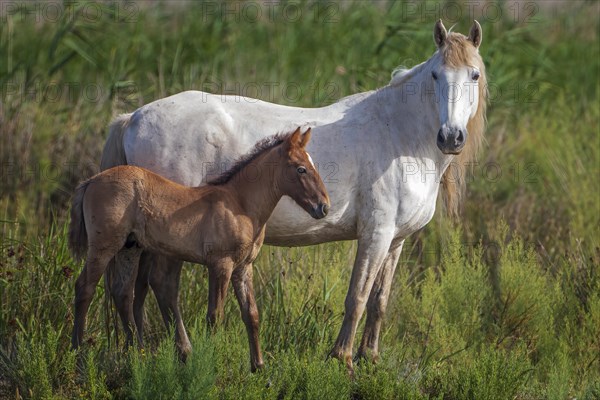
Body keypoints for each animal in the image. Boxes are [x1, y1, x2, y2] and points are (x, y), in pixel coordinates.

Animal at [99, 18, 488, 368]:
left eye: (474, 75)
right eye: (436, 75)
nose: (451, 137)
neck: (401, 136)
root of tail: (134, 117)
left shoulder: (396, 240)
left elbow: (379, 300)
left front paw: (371, 358)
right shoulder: (375, 235)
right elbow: (357, 297)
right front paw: (343, 359)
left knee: (132, 290)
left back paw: (145, 351)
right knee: (158, 286)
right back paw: (181, 352)